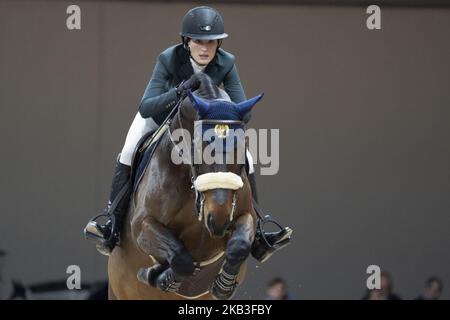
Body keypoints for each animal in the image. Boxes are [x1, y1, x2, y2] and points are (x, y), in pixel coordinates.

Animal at [107, 75, 264, 300]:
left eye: (242, 146)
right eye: (198, 147)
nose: (218, 219)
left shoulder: (244, 215)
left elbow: (239, 245)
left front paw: (224, 285)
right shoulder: (141, 224)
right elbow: (181, 258)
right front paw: (159, 276)